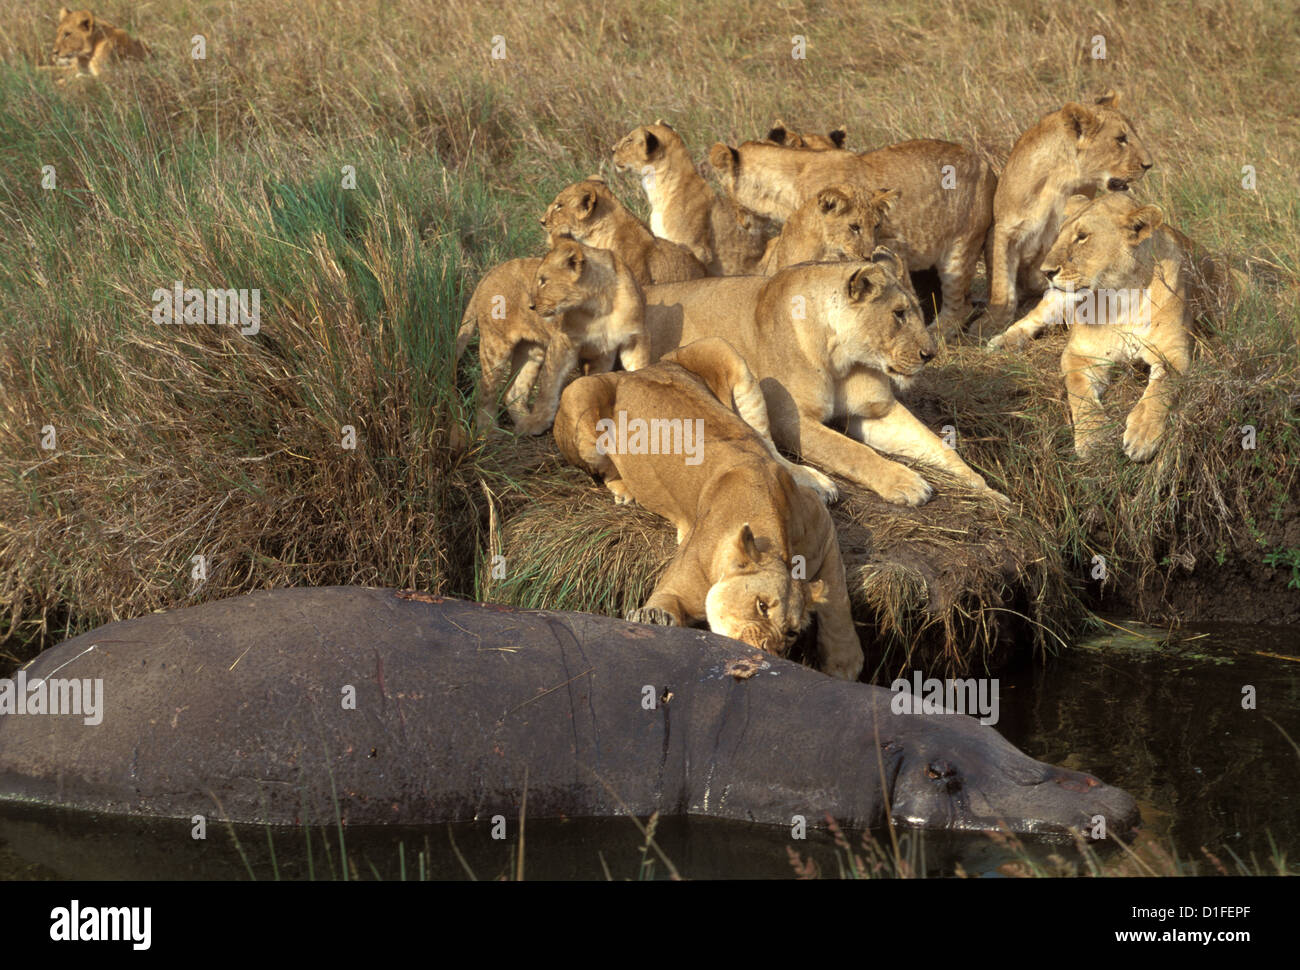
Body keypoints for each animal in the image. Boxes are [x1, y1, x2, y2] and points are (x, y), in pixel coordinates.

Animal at [455, 240, 649, 434]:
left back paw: (522, 423)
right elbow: (548, 387)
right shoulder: (563, 342)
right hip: (496, 344)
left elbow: (635, 370)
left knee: (513, 391)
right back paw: (489, 430)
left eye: (543, 281)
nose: (531, 306)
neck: (601, 306)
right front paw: (539, 421)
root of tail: (491, 272)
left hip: (531, 351)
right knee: (485, 388)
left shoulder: (623, 345)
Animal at [553, 337, 862, 680]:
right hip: (579, 395)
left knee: (768, 443)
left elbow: (838, 598)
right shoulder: (677, 588)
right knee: (604, 467)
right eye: (761, 606)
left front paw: (845, 662)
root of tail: (636, 372)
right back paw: (625, 491)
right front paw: (653, 619)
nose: (771, 652)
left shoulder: (821, 525)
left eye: (793, 632)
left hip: (721, 350)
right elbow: (663, 605)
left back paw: (817, 481)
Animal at [641, 249, 1008, 505]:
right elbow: (850, 451)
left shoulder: (878, 411)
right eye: (899, 314)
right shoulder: (791, 420)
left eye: (918, 311)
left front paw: (987, 490)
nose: (930, 354)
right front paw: (906, 482)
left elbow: (938, 446)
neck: (841, 359)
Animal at [983, 92, 1153, 337]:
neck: (1062, 177)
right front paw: (990, 324)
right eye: (1121, 139)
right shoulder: (1005, 229)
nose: (1149, 164)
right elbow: (1002, 284)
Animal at [986, 193, 1192, 461]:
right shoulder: (1079, 354)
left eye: (1082, 236)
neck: (1122, 294)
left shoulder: (1174, 353)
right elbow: (1079, 392)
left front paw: (1142, 434)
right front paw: (1093, 438)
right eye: (1060, 234)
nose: (1046, 271)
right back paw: (1000, 343)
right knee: (1031, 318)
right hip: (1055, 300)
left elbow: (1161, 389)